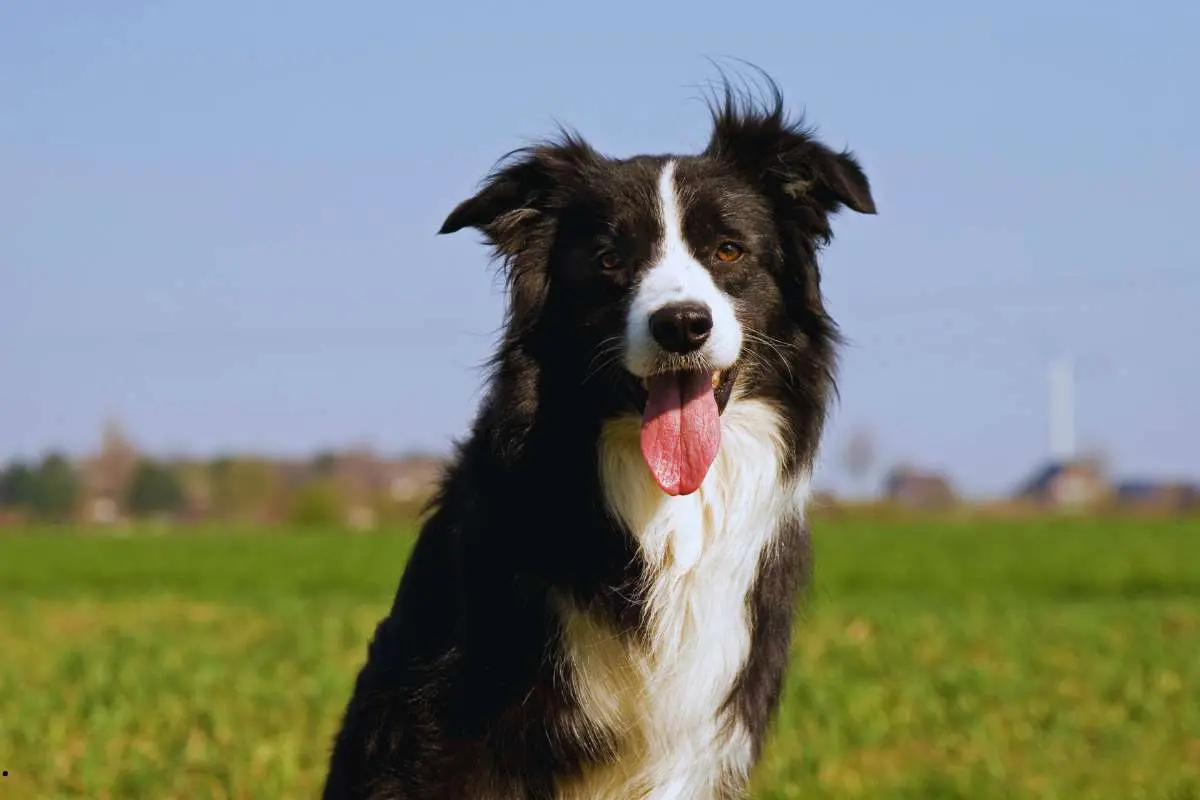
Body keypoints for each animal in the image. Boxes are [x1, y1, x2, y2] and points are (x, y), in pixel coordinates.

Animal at [324, 76, 878, 800]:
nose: (682, 324)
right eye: (611, 260)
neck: (664, 513)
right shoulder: (457, 722)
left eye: (728, 250)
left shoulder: (698, 737)